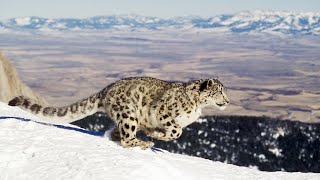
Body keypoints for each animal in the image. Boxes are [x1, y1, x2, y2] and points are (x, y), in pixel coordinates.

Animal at [8, 77, 229, 149]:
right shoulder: (164, 111)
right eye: (219, 91)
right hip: (129, 115)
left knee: (118, 133)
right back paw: (144, 143)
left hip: (129, 117)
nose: (227, 101)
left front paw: (155, 133)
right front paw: (157, 135)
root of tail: (106, 89)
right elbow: (176, 131)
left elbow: (176, 132)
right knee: (127, 138)